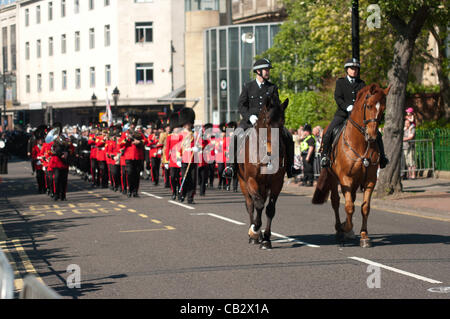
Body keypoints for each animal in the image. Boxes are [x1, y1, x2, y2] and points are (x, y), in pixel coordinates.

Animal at [237, 91, 290, 251]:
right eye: (267, 121)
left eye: (282, 122)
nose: (274, 153)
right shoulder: (250, 181)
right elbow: (258, 205)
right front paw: (254, 231)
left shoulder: (277, 183)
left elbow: (270, 209)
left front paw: (266, 239)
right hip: (243, 183)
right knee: (251, 205)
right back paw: (253, 235)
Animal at [312, 84, 390, 249]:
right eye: (369, 105)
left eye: (383, 109)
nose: (372, 136)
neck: (361, 143)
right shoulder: (345, 179)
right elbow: (348, 207)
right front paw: (344, 228)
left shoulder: (370, 180)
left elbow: (364, 207)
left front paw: (364, 236)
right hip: (334, 179)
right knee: (336, 202)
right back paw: (339, 230)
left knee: (352, 200)